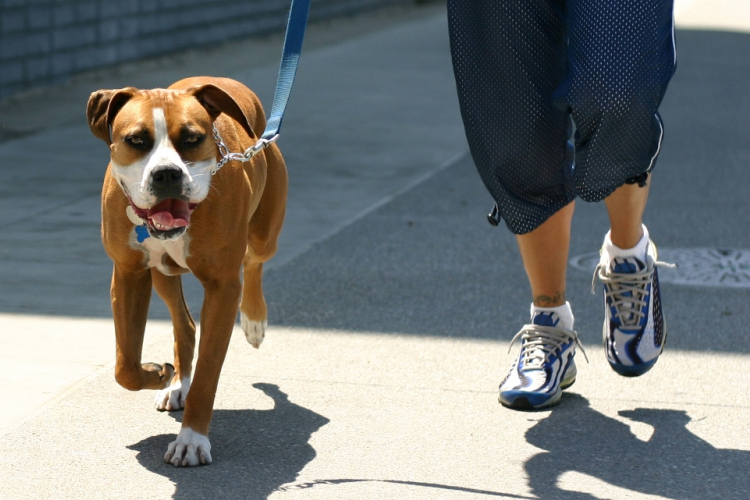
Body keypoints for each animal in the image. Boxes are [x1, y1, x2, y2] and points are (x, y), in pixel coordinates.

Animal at [87, 76, 288, 466]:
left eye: (192, 138)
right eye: (137, 140)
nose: (166, 173)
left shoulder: (223, 287)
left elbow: (209, 373)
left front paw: (192, 439)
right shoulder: (128, 274)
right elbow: (125, 366)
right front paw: (157, 373)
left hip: (264, 234)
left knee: (254, 261)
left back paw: (255, 320)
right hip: (162, 275)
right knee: (185, 325)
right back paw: (177, 382)